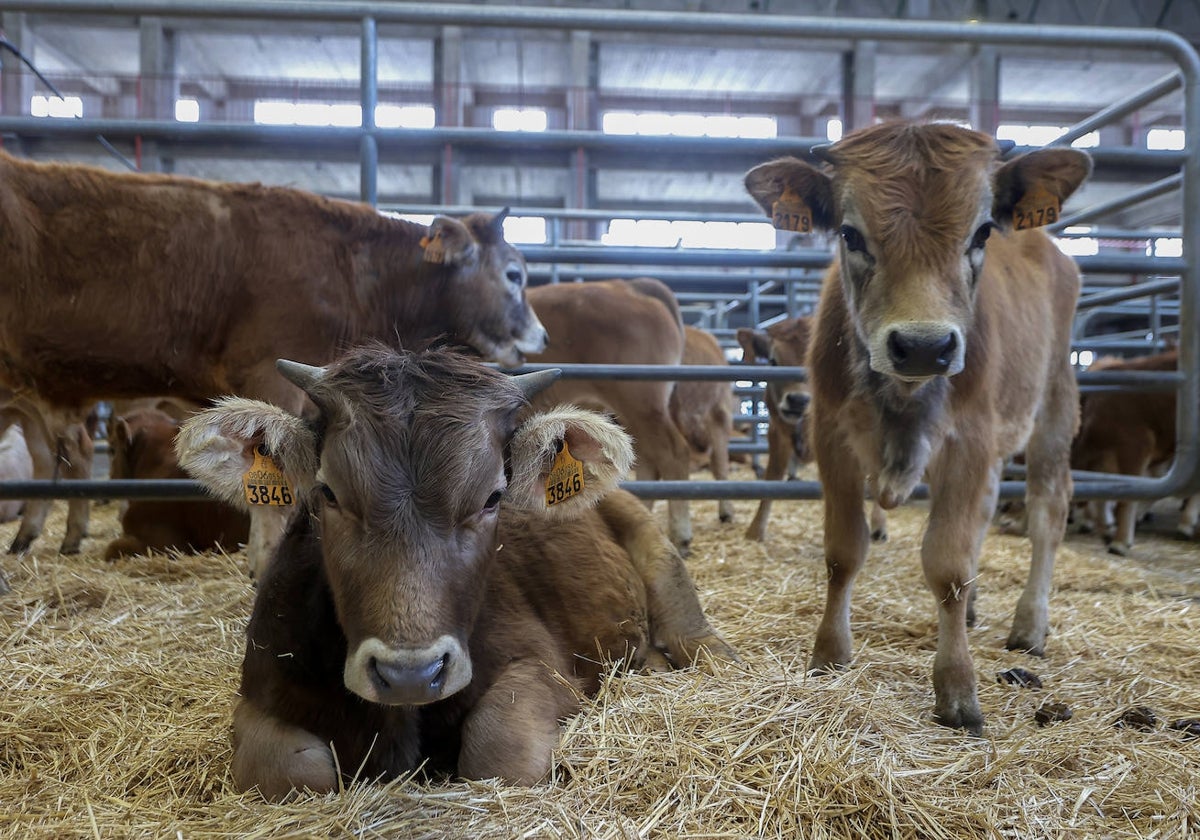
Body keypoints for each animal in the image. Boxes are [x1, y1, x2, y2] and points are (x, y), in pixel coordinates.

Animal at [174, 345, 734, 801]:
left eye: (493, 497)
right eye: (328, 493)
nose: (410, 673)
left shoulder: (546, 666)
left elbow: (498, 749)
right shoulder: (261, 688)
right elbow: (289, 773)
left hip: (653, 546)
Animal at [744, 121, 1094, 729]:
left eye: (982, 231)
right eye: (850, 233)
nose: (925, 346)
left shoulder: (968, 440)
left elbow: (948, 564)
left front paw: (957, 687)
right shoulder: (833, 435)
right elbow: (844, 551)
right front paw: (829, 654)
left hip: (1053, 406)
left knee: (1048, 510)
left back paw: (1030, 625)